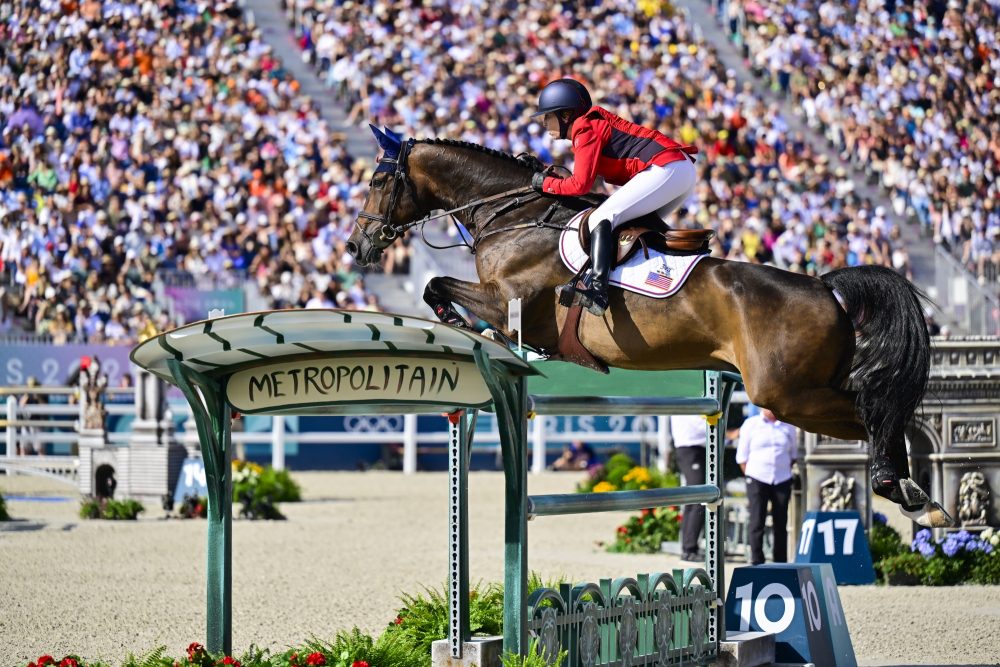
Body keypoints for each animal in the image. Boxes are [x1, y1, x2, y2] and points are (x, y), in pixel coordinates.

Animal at [348, 126, 948, 528]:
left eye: (378, 179)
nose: (356, 246)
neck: (512, 216)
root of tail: (827, 287)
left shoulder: (508, 300)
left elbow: (438, 287)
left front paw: (463, 326)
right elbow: (437, 286)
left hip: (785, 392)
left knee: (874, 409)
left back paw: (901, 488)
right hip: (801, 392)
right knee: (878, 414)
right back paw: (916, 495)